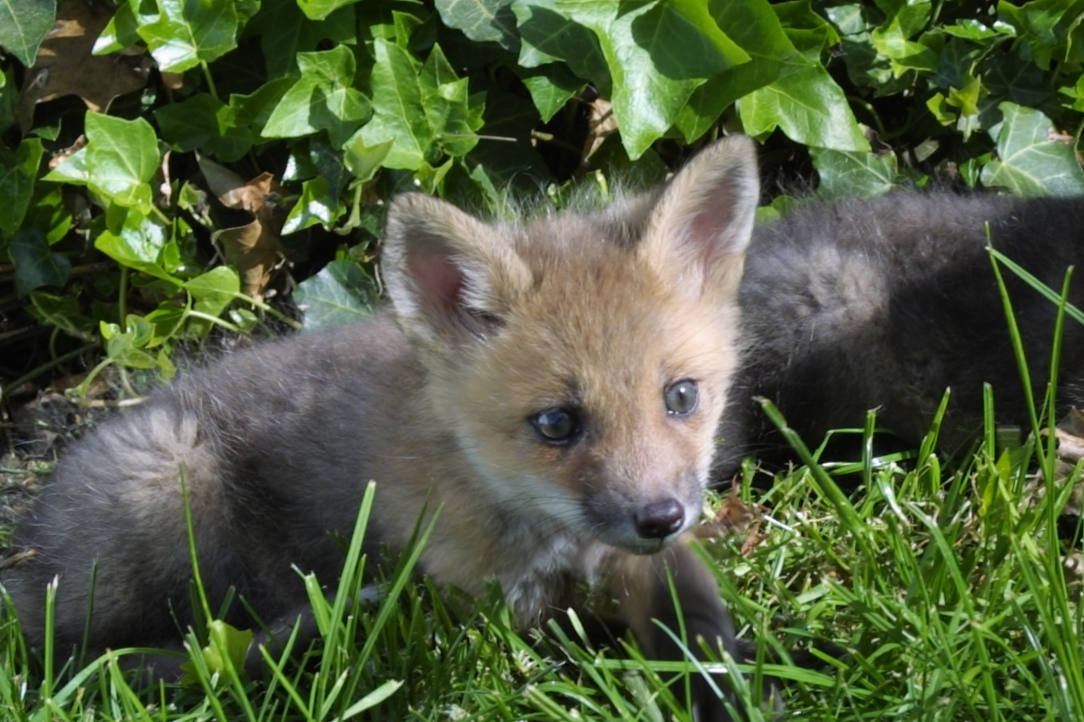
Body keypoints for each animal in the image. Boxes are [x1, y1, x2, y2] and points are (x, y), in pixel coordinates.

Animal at [1, 136, 761, 720]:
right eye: (556, 423)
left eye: (681, 396)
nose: (660, 517)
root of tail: (24, 564)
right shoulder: (487, 608)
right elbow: (553, 650)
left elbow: (696, 622)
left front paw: (741, 677)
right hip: (170, 483)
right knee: (116, 660)